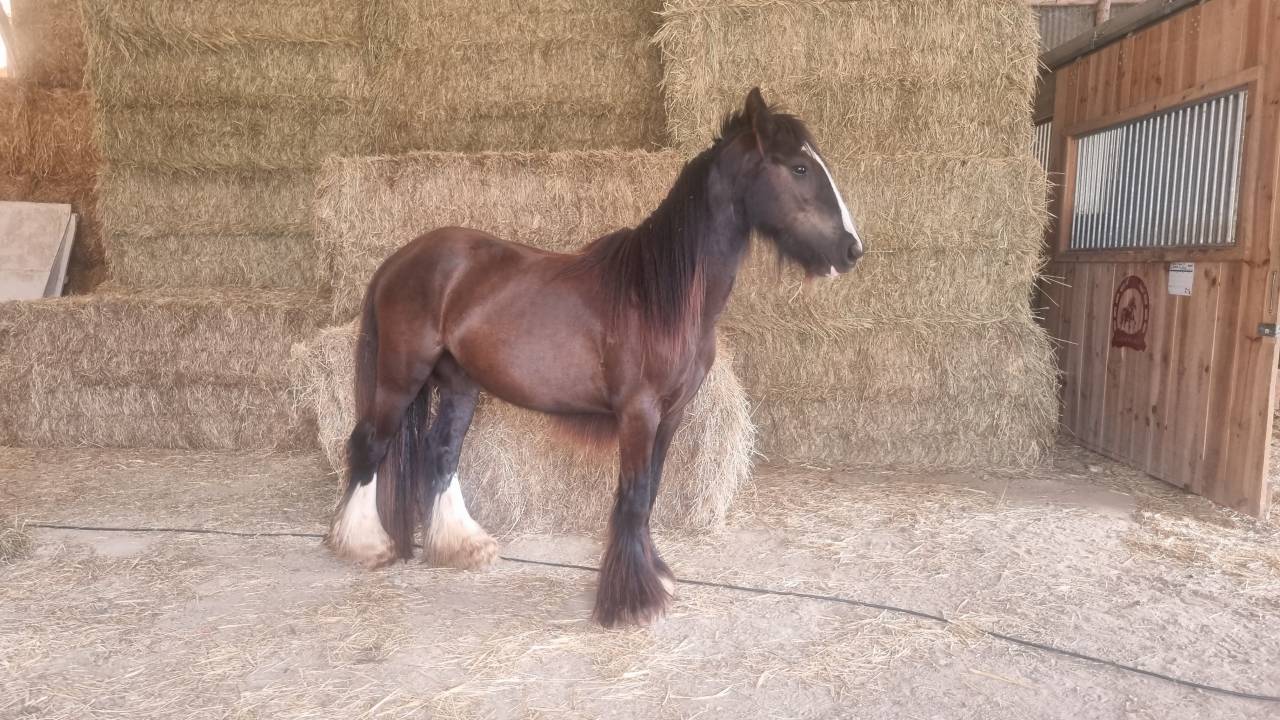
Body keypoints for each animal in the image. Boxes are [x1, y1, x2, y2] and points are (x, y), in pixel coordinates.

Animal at [325, 87, 864, 627]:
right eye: (799, 167)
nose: (852, 249)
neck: (657, 295)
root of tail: (400, 259)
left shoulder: (672, 415)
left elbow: (649, 492)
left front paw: (656, 578)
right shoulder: (639, 413)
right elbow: (632, 498)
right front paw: (632, 601)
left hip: (460, 383)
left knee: (442, 451)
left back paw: (462, 545)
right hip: (400, 375)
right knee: (369, 444)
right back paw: (363, 544)